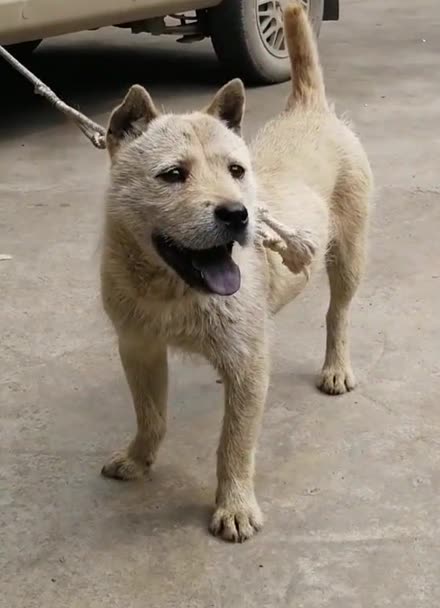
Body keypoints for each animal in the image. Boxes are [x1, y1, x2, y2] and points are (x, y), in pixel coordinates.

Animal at [99, 1, 372, 540]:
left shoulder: (248, 362)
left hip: (349, 256)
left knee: (338, 313)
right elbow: (150, 414)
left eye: (237, 171)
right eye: (173, 174)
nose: (237, 215)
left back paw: (336, 366)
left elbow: (235, 442)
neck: (172, 288)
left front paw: (235, 504)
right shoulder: (138, 348)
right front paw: (139, 459)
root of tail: (309, 109)